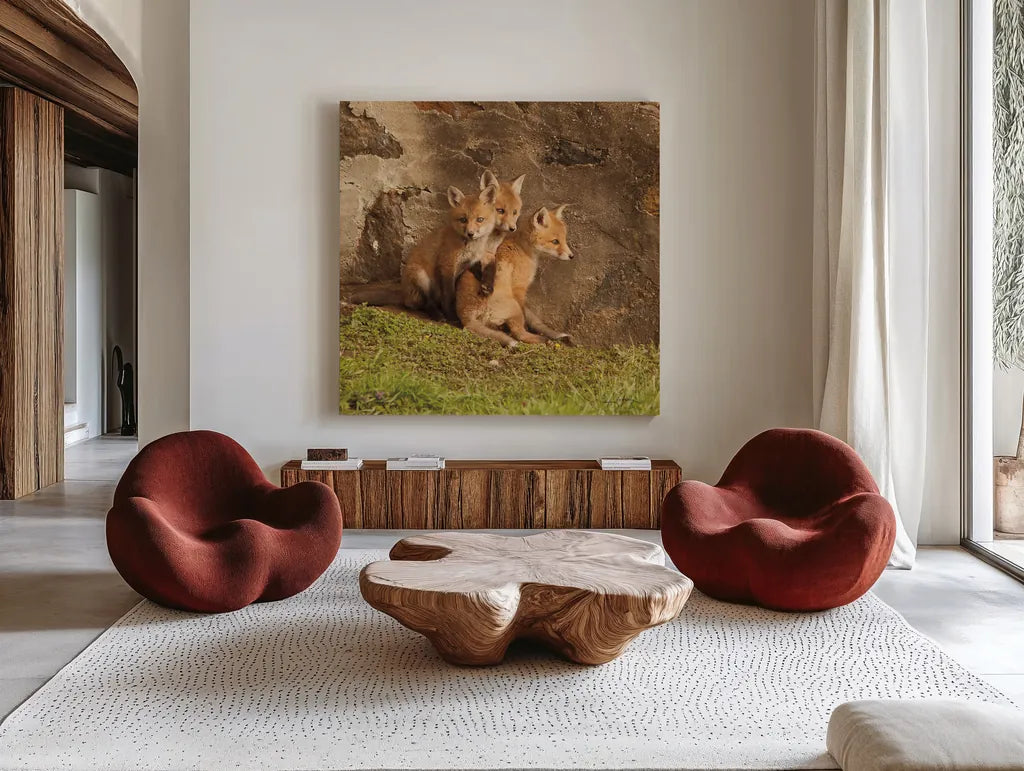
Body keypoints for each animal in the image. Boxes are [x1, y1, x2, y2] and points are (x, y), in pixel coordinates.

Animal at [400, 183, 498, 319]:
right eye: (463, 220)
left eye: (480, 219)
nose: (470, 233)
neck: (469, 247)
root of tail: (404, 297)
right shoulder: (447, 266)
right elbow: (449, 296)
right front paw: (451, 316)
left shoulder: (469, 263)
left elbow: (482, 271)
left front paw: (487, 285)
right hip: (421, 277)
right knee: (427, 303)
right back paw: (437, 315)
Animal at [455, 204, 574, 347]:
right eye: (555, 241)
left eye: (564, 239)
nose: (572, 256)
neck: (523, 248)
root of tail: (465, 315)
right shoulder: (519, 288)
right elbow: (524, 322)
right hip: (514, 307)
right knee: (519, 333)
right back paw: (543, 340)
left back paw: (556, 336)